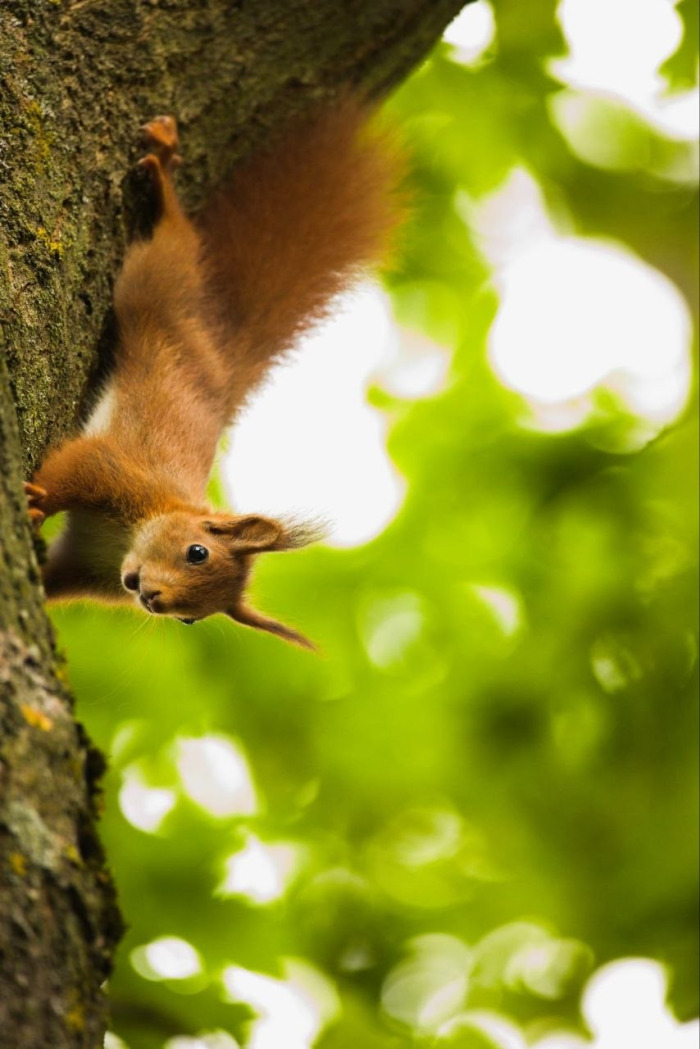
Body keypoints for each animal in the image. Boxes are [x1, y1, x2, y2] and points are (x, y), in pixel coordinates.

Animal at [25, 99, 401, 647]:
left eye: (191, 618)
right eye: (197, 552)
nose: (152, 598)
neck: (130, 533)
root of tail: (222, 357)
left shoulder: (88, 567)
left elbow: (53, 579)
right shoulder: (118, 471)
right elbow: (74, 468)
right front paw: (36, 497)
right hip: (159, 287)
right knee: (173, 243)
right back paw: (164, 170)